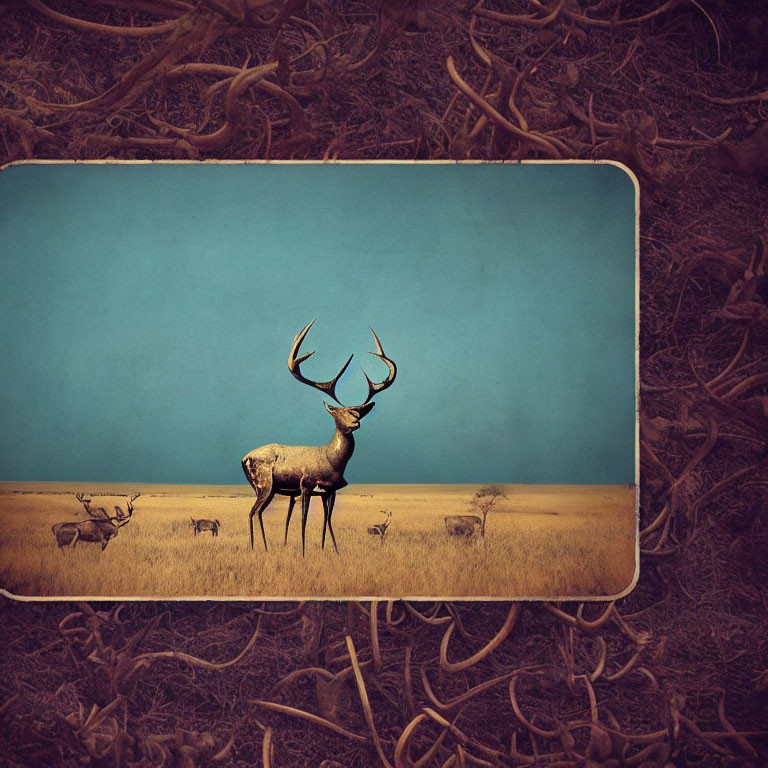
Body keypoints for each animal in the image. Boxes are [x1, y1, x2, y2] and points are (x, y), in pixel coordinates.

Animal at [242, 320, 400, 556]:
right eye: (338, 413)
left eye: (357, 412)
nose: (356, 423)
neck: (331, 459)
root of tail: (244, 458)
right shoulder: (305, 485)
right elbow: (304, 521)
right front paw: (304, 553)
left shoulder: (330, 490)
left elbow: (328, 521)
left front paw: (333, 550)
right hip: (264, 485)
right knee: (252, 512)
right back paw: (255, 548)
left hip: (267, 489)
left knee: (258, 512)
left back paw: (266, 547)